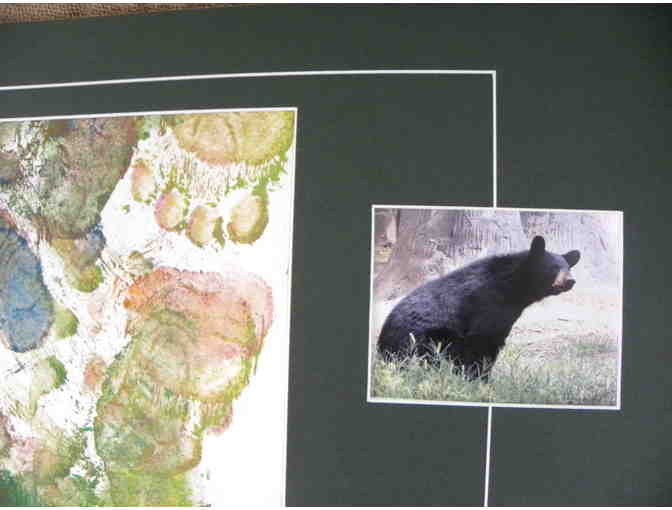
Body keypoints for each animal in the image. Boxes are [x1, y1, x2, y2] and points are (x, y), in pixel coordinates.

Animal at [377, 235, 581, 381]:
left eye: (568, 267)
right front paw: (478, 378)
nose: (570, 281)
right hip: (426, 337)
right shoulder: (488, 304)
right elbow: (483, 342)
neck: (513, 287)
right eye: (553, 267)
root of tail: (384, 336)